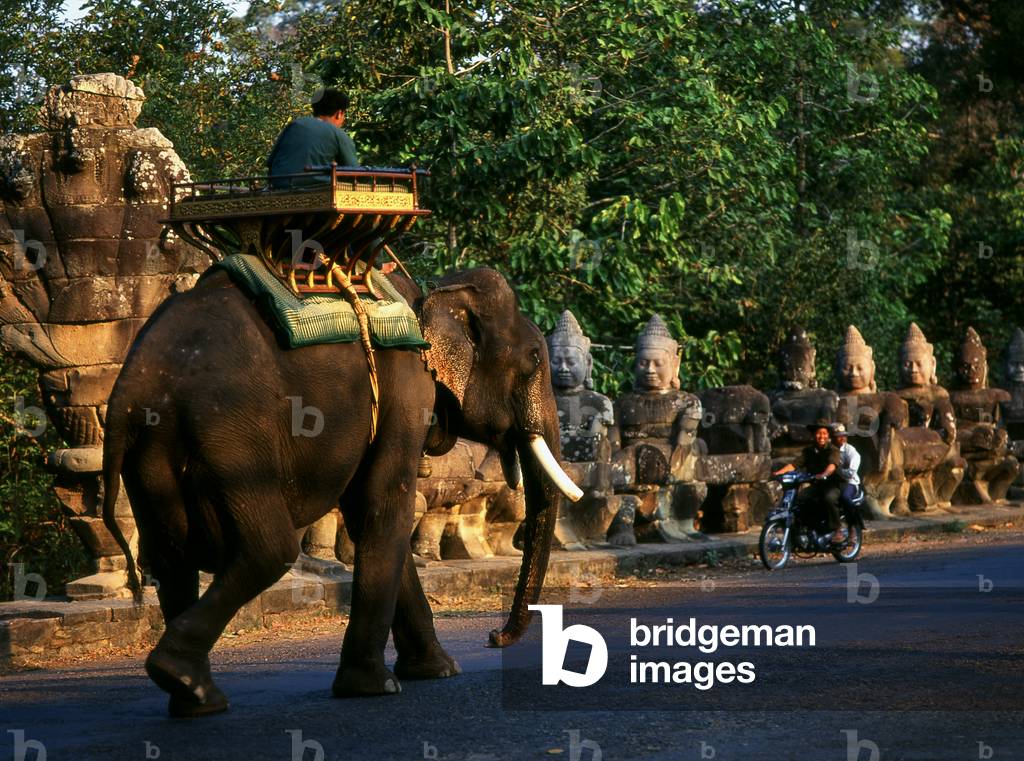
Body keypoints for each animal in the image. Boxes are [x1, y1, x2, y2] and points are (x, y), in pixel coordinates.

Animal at [101, 265, 582, 717]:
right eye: (533, 358)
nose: (493, 637)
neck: (432, 297)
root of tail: (130, 388)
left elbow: (366, 512)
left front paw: (437, 670)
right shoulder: (407, 389)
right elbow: (384, 506)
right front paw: (375, 687)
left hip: (153, 450)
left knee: (169, 556)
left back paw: (193, 696)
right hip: (230, 436)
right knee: (268, 550)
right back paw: (180, 676)